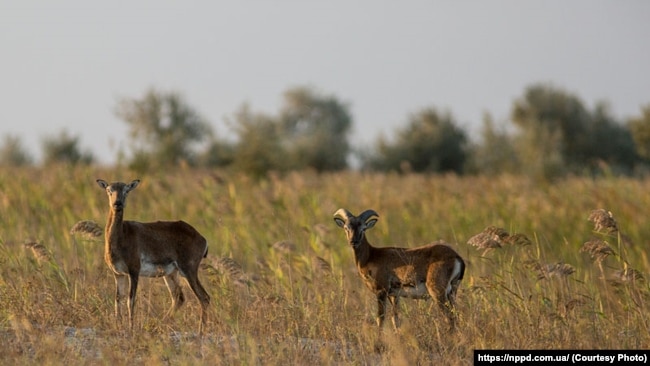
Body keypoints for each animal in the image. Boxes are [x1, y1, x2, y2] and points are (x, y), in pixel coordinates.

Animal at [96, 179, 210, 334]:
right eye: (109, 190)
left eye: (126, 190)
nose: (117, 204)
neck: (122, 235)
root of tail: (202, 238)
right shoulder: (118, 274)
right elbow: (118, 299)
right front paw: (118, 326)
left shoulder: (134, 271)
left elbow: (130, 300)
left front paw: (131, 328)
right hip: (171, 274)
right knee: (179, 297)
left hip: (188, 271)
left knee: (204, 297)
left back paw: (200, 332)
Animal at [332, 209, 464, 332]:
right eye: (346, 227)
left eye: (363, 228)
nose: (353, 241)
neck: (371, 256)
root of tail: (456, 257)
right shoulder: (394, 296)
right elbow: (395, 319)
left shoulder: (381, 291)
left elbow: (380, 318)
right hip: (452, 293)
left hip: (438, 293)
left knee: (449, 317)